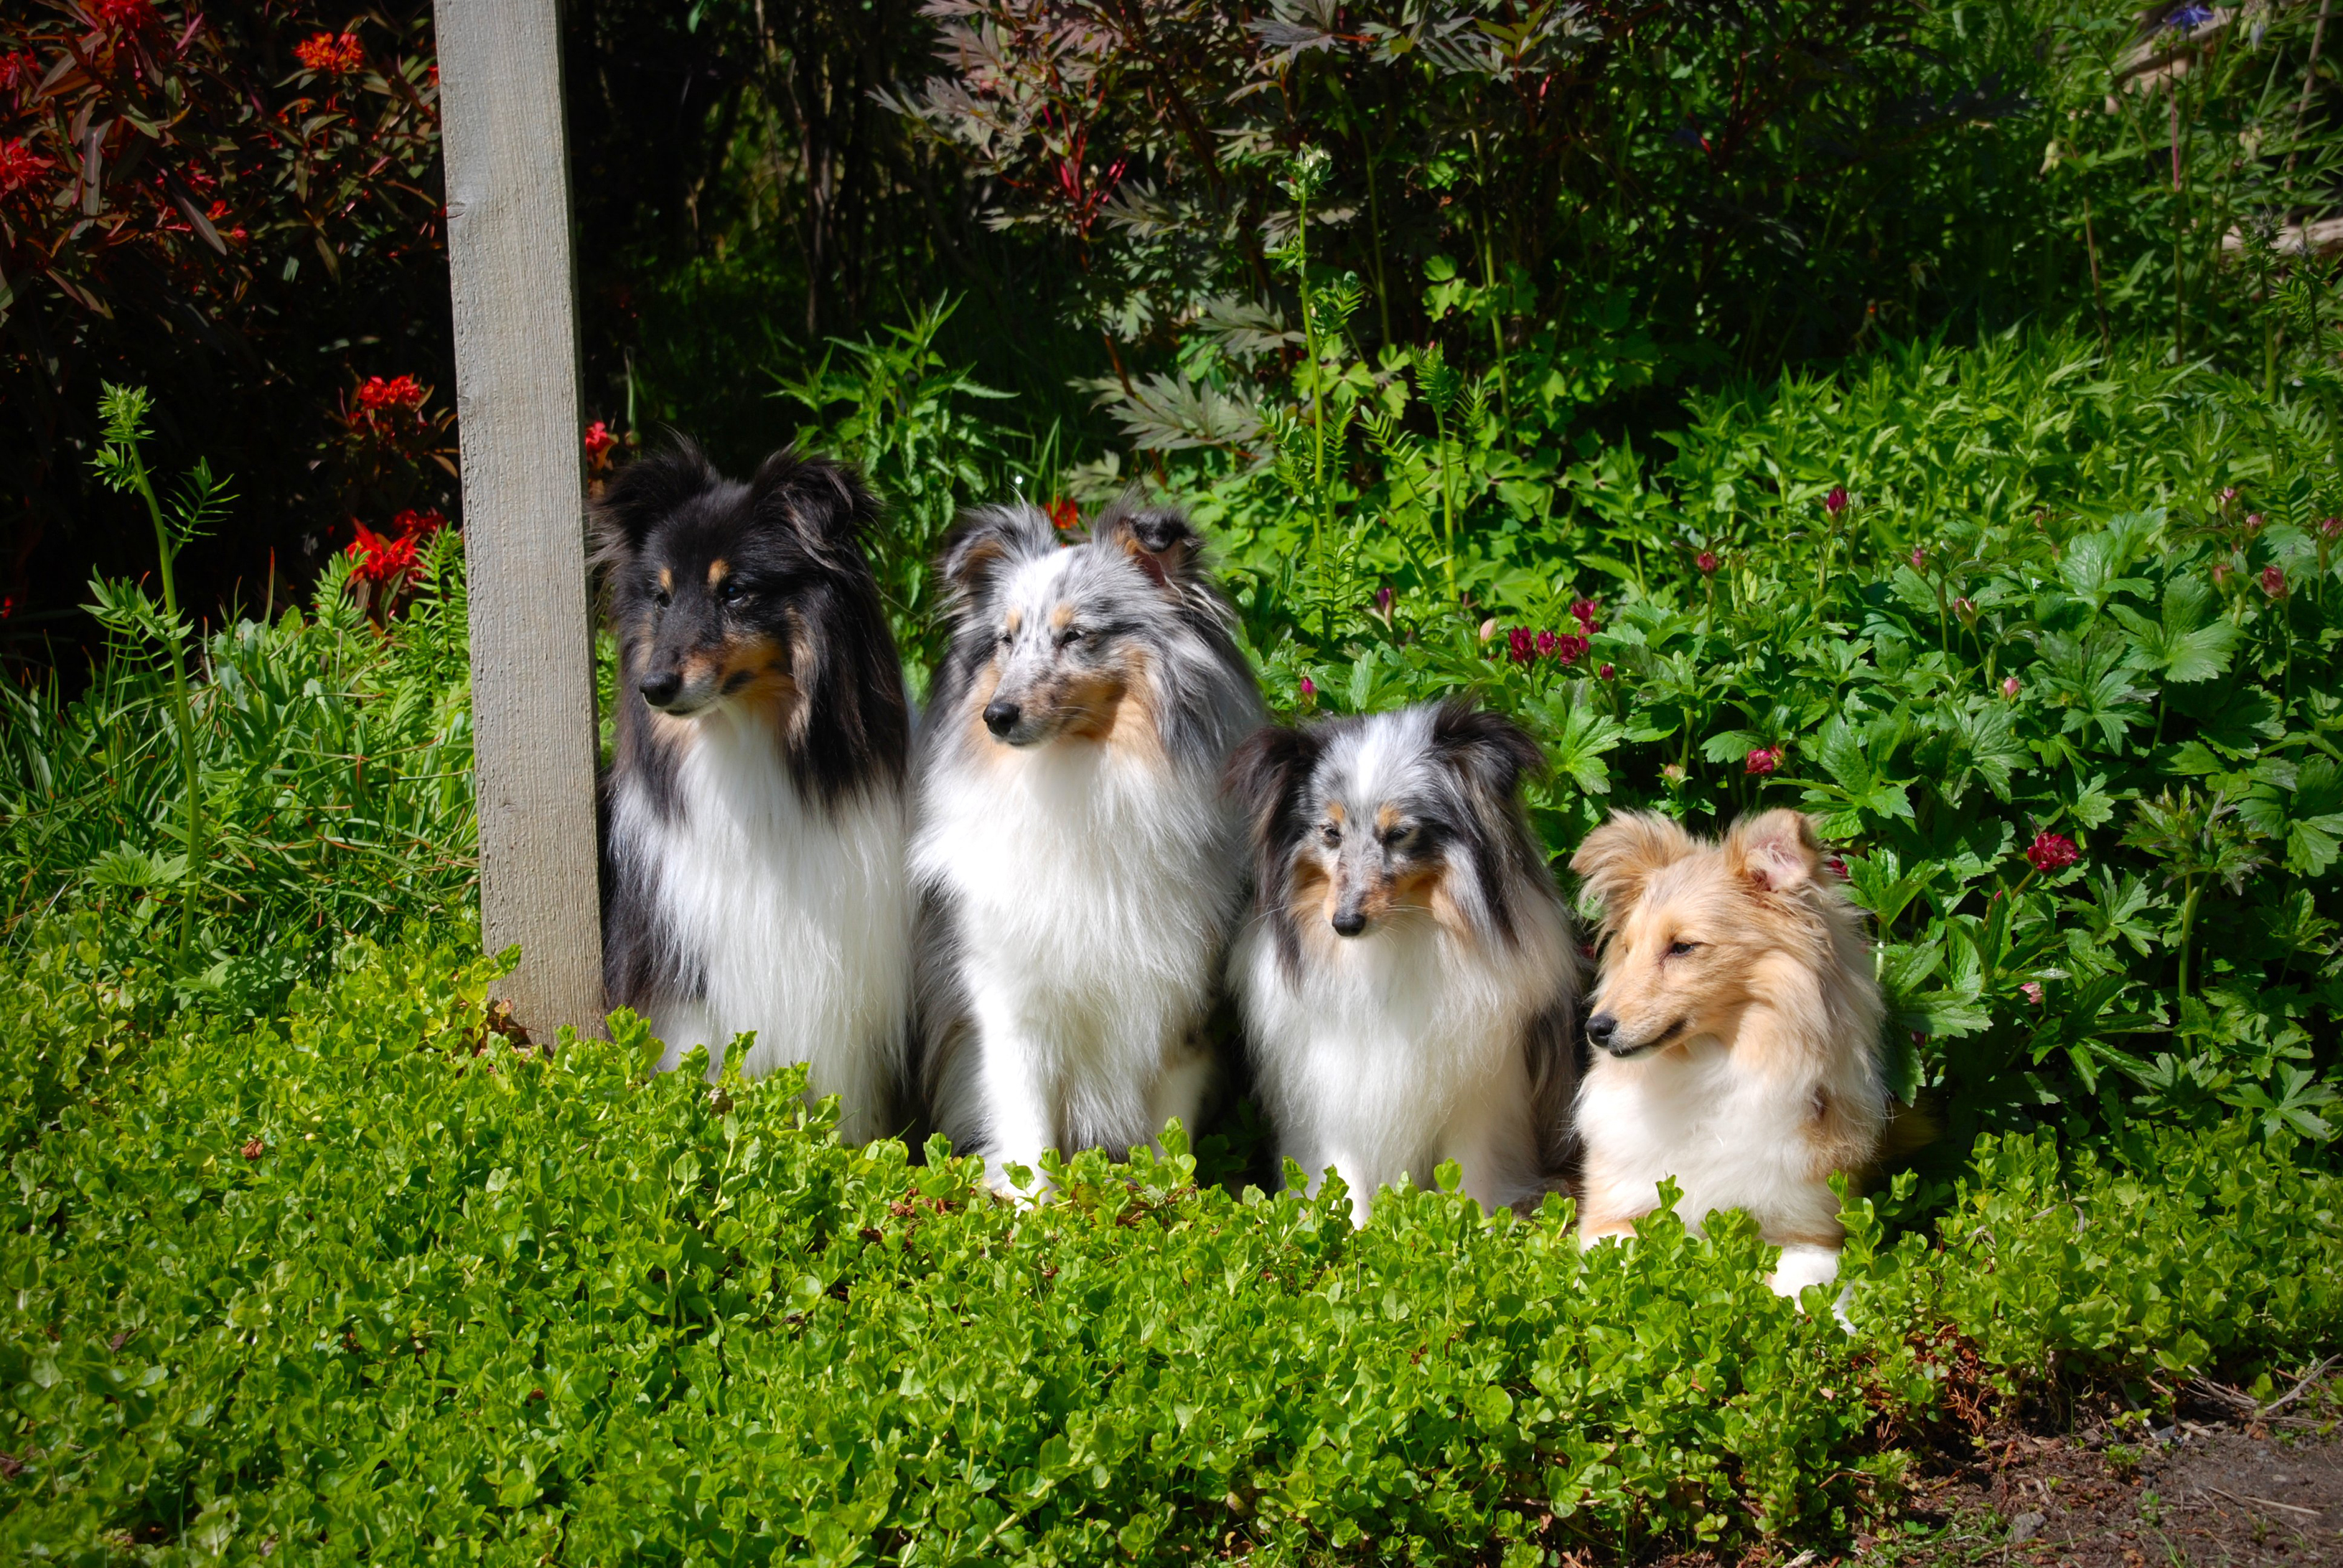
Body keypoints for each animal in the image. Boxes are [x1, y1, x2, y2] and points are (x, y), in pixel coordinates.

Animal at [909, 494, 1265, 1191]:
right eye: (1007, 639)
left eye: (1076, 635)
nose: (996, 716)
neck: (1077, 777)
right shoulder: (1011, 1002)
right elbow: (1026, 1132)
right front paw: (1034, 1208)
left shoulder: (1182, 1007)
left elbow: (1169, 1134)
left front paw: (1168, 1202)